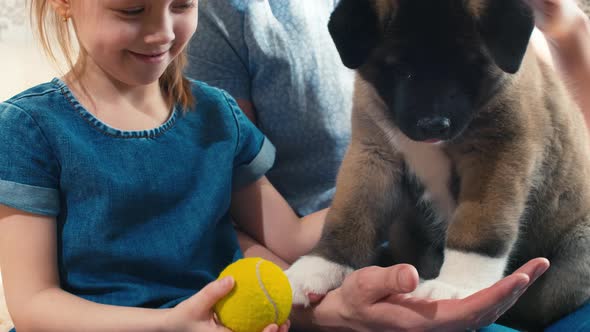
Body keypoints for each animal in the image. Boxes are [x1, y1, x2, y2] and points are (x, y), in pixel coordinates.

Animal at [286, 0, 590, 328]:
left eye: (468, 66)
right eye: (399, 69)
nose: (433, 125)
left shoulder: (497, 156)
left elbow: (478, 226)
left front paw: (457, 284)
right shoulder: (373, 155)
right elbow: (350, 214)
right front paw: (318, 266)